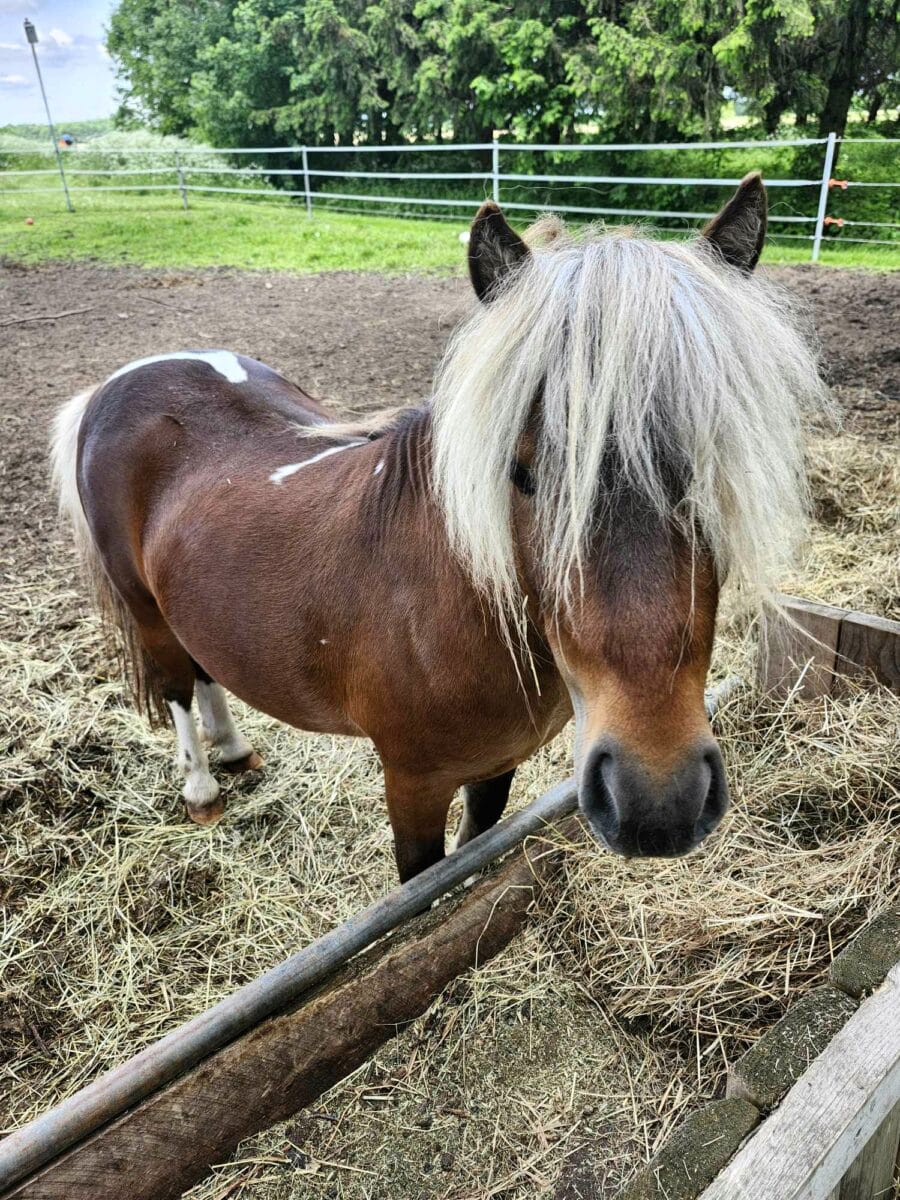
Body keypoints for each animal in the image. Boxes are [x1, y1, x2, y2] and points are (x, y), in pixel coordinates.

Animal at [49, 171, 825, 883]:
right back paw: (203, 785)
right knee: (177, 686)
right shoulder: (412, 784)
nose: (657, 800)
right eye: (521, 474)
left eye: (717, 465)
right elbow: (421, 883)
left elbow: (471, 854)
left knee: (205, 669)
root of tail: (117, 384)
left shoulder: (496, 763)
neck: (445, 607)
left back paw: (236, 750)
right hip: (145, 609)